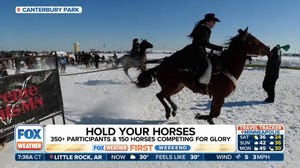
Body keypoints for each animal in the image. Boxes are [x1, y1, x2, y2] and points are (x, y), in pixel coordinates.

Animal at [136, 27, 270, 124]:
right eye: (251, 41)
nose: (268, 48)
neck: (227, 66)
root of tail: (161, 66)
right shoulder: (219, 96)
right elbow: (214, 114)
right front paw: (200, 116)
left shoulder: (216, 97)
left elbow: (213, 114)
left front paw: (207, 119)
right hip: (171, 86)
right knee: (160, 95)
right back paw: (169, 111)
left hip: (178, 86)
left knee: (166, 96)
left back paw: (173, 109)